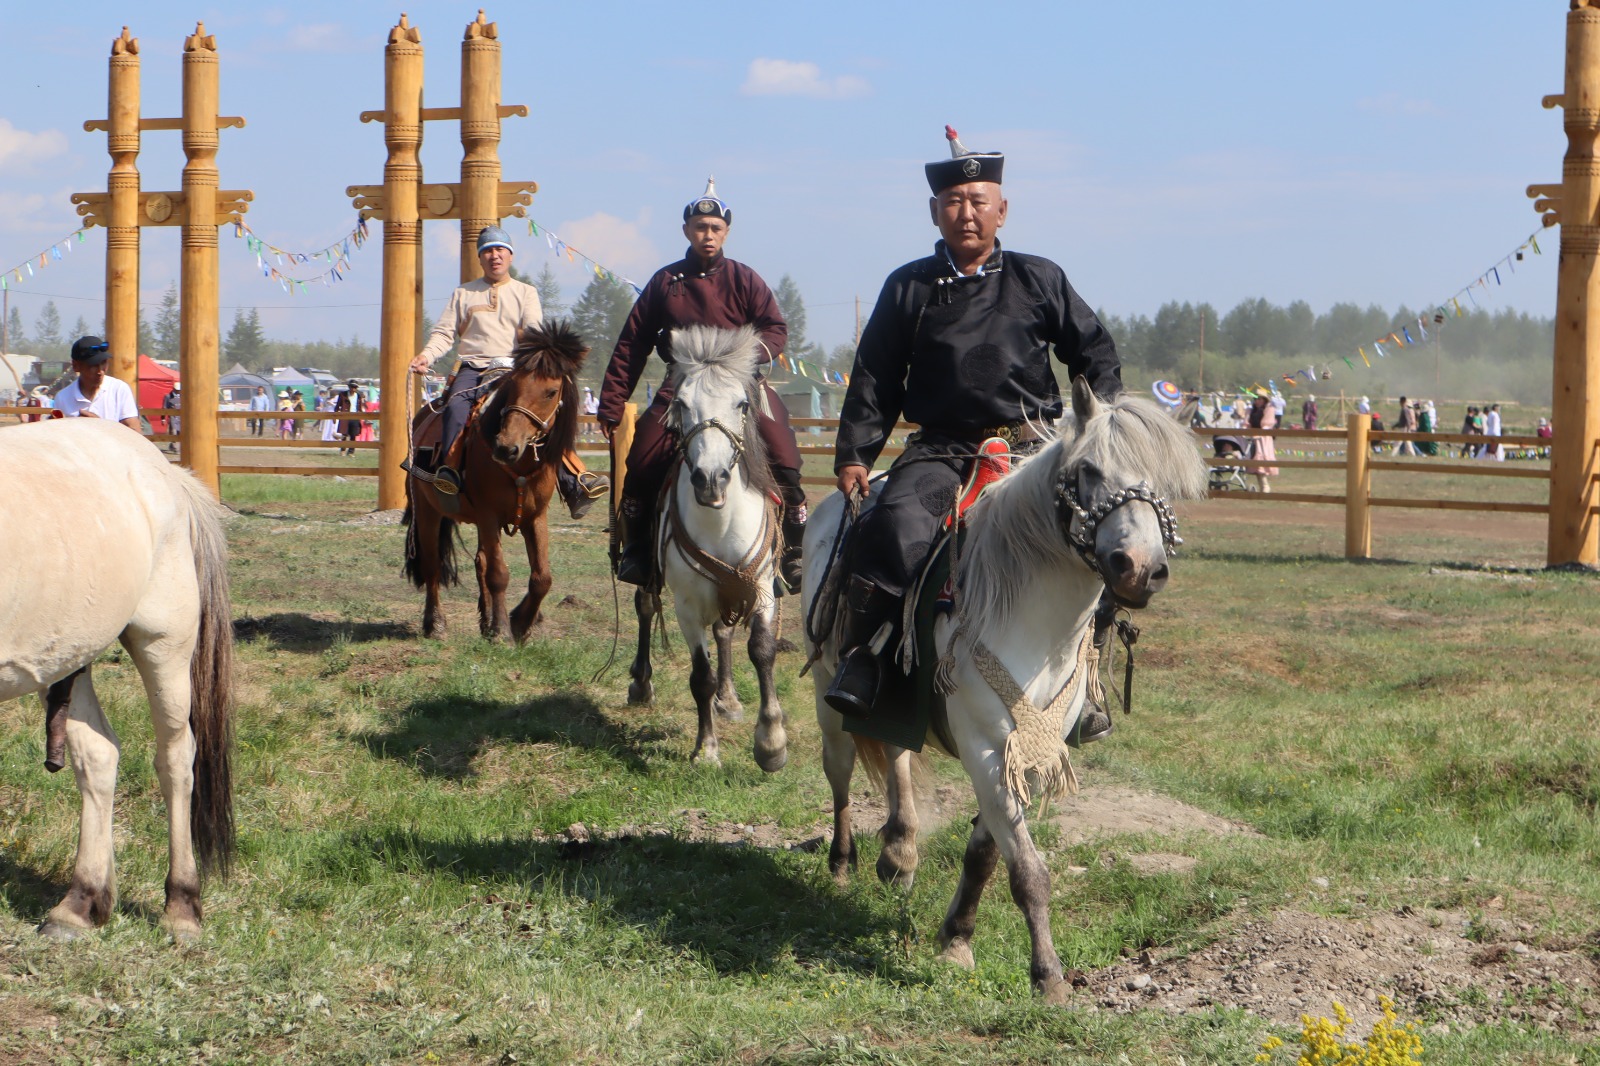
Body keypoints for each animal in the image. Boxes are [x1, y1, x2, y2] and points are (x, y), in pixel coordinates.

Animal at [0, 416, 233, 941]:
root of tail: (170, 474)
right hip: (66, 655)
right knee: (99, 755)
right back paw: (82, 901)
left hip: (163, 643)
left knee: (175, 759)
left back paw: (181, 905)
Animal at [403, 320, 592, 640]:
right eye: (513, 385)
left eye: (551, 391)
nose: (506, 447)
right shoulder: (489, 514)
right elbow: (499, 573)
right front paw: (504, 629)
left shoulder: (535, 517)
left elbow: (541, 577)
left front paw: (522, 623)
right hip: (428, 512)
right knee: (432, 566)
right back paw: (435, 623)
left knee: (479, 561)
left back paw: (485, 622)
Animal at [630, 320, 793, 768]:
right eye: (682, 404)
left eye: (742, 404)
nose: (710, 479)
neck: (720, 522)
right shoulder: (686, 606)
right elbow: (699, 677)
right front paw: (706, 748)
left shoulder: (761, 589)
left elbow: (762, 650)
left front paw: (771, 742)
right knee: (645, 606)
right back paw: (641, 683)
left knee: (723, 631)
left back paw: (730, 698)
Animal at [806, 379, 1203, 998]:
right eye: (1088, 470)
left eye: (1165, 485)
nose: (1138, 567)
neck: (1032, 619)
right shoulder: (986, 744)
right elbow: (1027, 869)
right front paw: (1049, 977)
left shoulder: (1030, 750)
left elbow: (987, 855)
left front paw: (956, 939)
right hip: (828, 691)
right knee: (841, 772)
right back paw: (844, 861)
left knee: (896, 753)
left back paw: (899, 853)